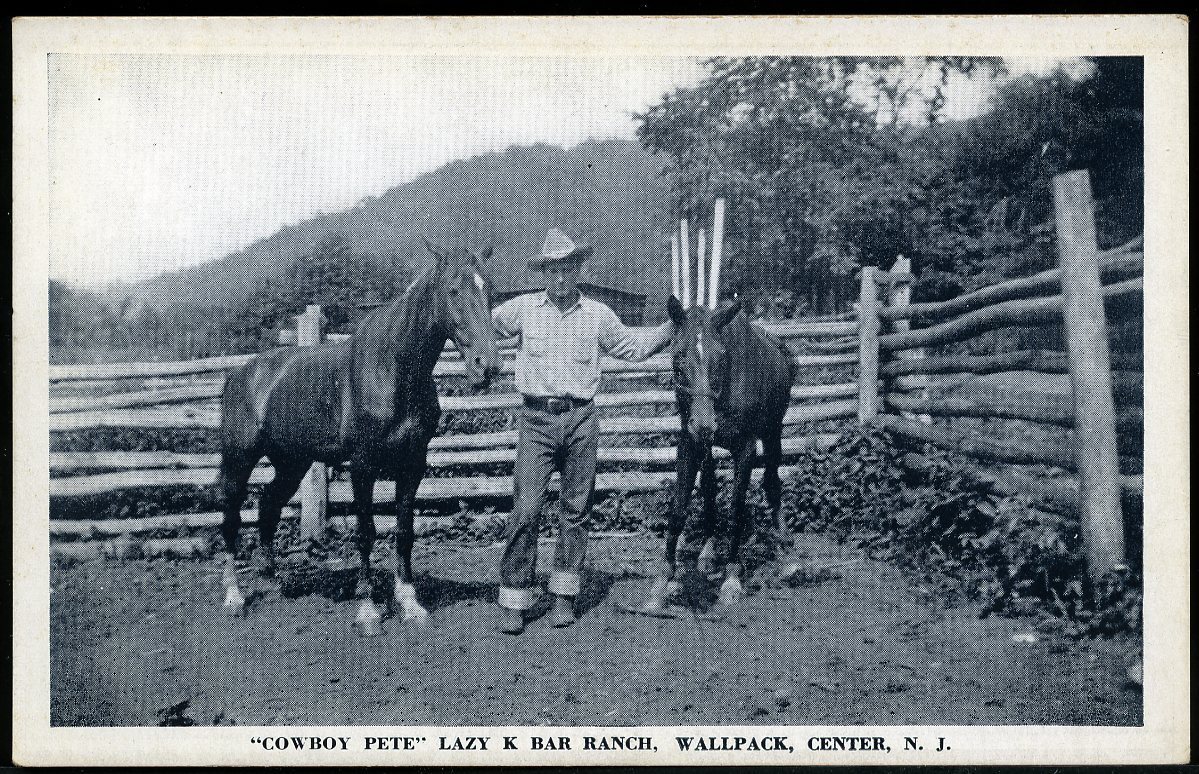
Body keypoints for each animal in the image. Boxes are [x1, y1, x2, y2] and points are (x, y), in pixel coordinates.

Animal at [214, 242, 496, 632]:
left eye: (488, 290)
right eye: (453, 291)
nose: (488, 367)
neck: (393, 370)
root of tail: (241, 374)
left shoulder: (413, 464)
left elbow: (404, 531)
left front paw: (410, 602)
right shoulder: (363, 466)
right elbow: (366, 532)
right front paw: (369, 608)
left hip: (292, 463)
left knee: (268, 505)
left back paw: (272, 580)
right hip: (240, 459)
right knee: (231, 517)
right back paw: (233, 596)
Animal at [642, 297, 800, 613]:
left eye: (721, 360)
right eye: (678, 362)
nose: (704, 424)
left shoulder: (746, 448)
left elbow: (736, 509)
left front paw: (731, 579)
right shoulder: (689, 444)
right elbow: (679, 509)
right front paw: (661, 584)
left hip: (773, 432)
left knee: (772, 483)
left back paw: (787, 557)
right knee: (709, 487)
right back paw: (707, 552)